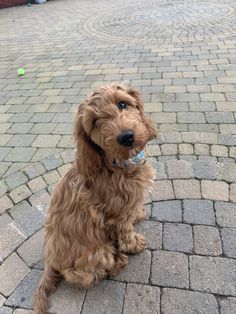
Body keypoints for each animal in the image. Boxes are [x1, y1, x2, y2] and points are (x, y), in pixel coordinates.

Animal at [32, 84, 157, 312]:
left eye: (122, 104)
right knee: (87, 276)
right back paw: (118, 262)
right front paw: (134, 244)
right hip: (97, 252)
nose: (126, 137)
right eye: (96, 123)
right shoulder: (117, 213)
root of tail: (51, 262)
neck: (114, 165)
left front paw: (138, 214)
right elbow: (126, 231)